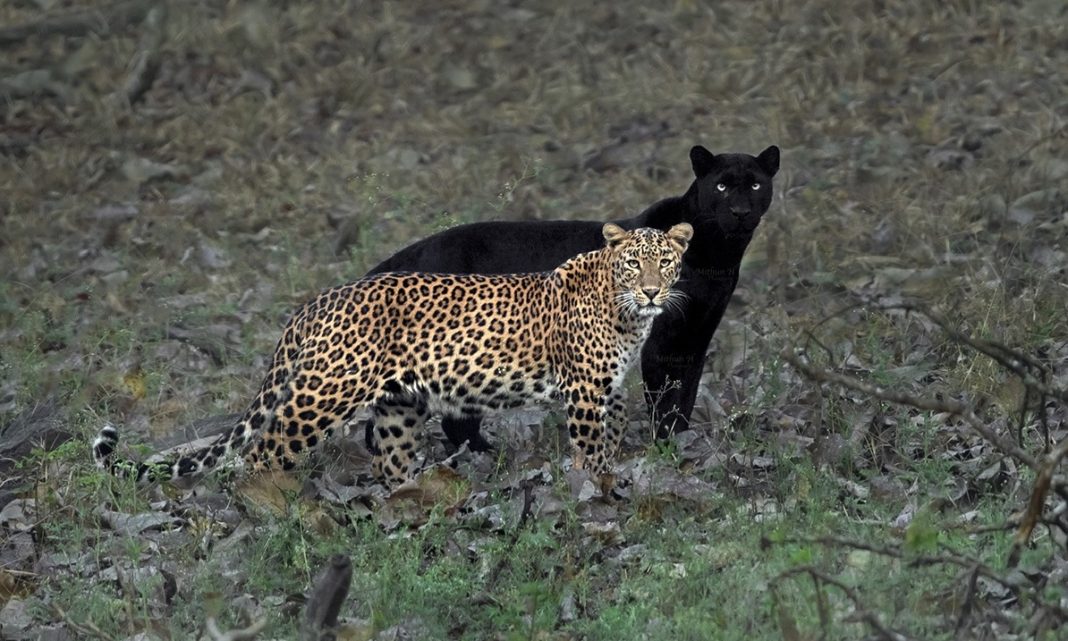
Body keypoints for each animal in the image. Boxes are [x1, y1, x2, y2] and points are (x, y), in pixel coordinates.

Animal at [89, 221, 692, 485]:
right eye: (634, 263)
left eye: (665, 262)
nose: (652, 292)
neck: (626, 313)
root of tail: (317, 302)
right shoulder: (586, 388)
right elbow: (590, 448)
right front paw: (594, 491)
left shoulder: (610, 388)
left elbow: (611, 436)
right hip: (324, 394)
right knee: (261, 452)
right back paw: (270, 505)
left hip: (399, 405)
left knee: (389, 460)